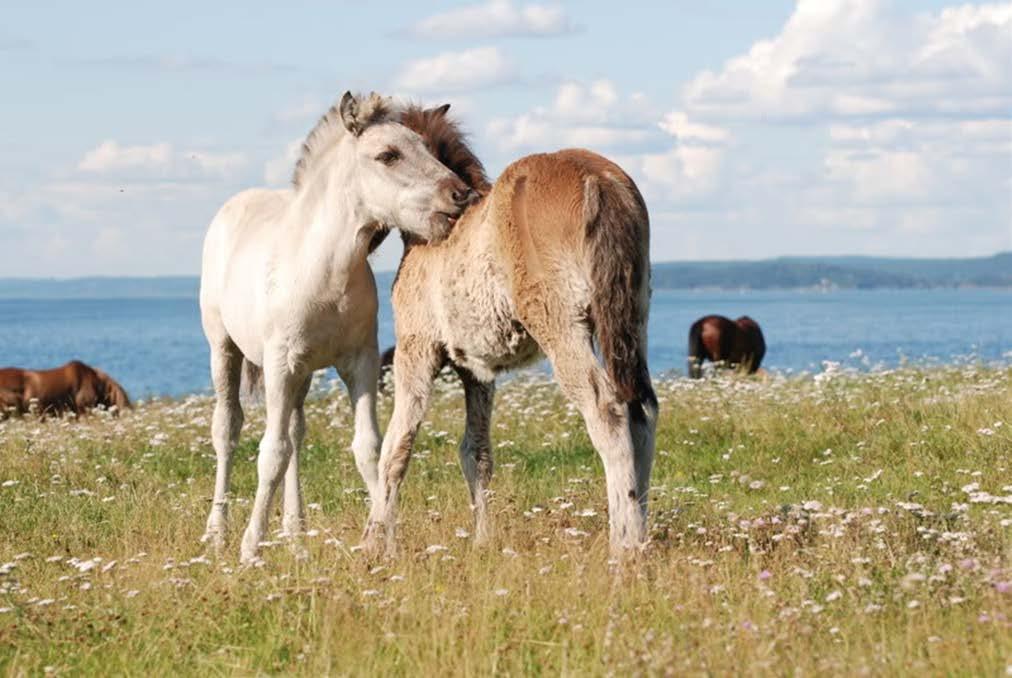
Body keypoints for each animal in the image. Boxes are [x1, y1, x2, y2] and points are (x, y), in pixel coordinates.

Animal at [203, 93, 479, 566]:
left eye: (428, 148)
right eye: (388, 155)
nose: (460, 194)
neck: (325, 272)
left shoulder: (359, 363)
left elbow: (368, 447)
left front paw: (386, 540)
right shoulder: (279, 364)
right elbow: (270, 453)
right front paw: (250, 548)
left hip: (302, 374)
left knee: (295, 434)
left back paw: (295, 534)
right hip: (225, 349)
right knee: (229, 430)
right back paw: (218, 532)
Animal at [364, 106, 655, 558]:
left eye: (390, 155)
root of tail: (598, 179)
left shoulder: (416, 351)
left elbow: (396, 448)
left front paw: (376, 545)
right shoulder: (477, 370)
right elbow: (476, 453)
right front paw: (483, 541)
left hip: (562, 326)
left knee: (608, 411)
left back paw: (620, 548)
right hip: (631, 320)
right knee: (642, 409)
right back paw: (640, 539)